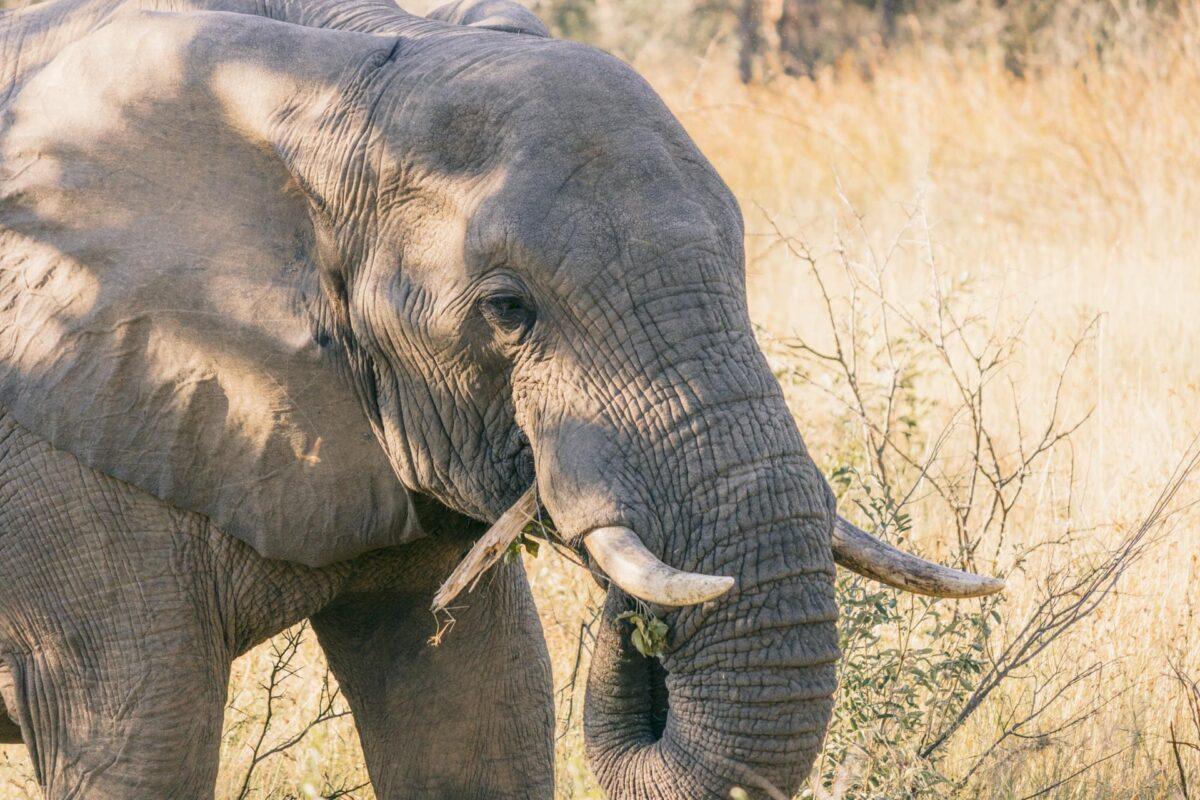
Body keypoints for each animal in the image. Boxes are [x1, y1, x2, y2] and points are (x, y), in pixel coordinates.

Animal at [0, 0, 1003, 797]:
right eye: (508, 309)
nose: (634, 621)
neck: (324, 72)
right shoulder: (67, 441)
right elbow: (140, 731)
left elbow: (478, 715)